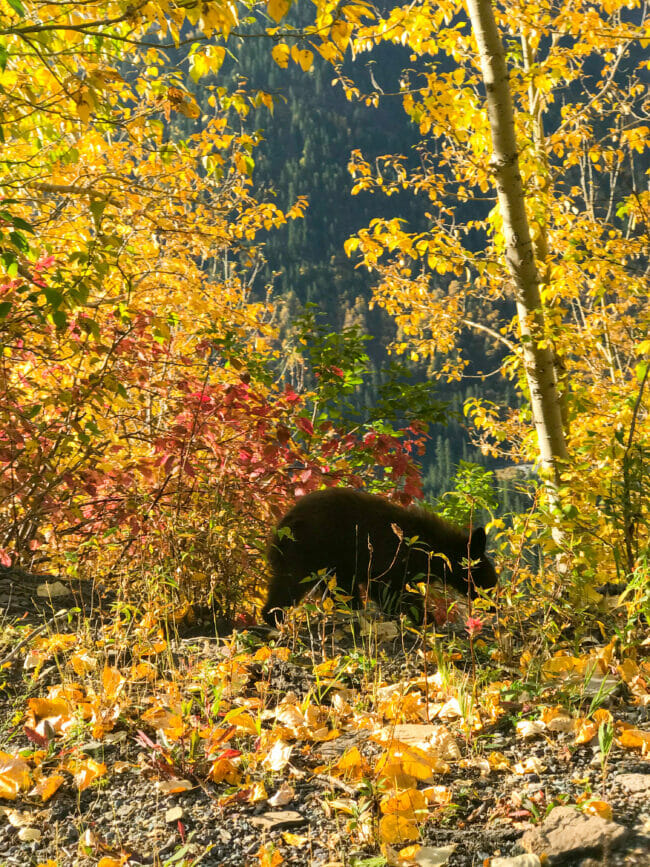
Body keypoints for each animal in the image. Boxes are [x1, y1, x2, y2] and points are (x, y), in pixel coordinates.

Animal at [260, 488, 494, 624]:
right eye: (489, 583)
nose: (492, 606)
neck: (432, 548)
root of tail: (281, 526)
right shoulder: (394, 559)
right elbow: (391, 590)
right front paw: (425, 618)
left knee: (339, 590)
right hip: (309, 550)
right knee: (291, 583)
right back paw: (274, 616)